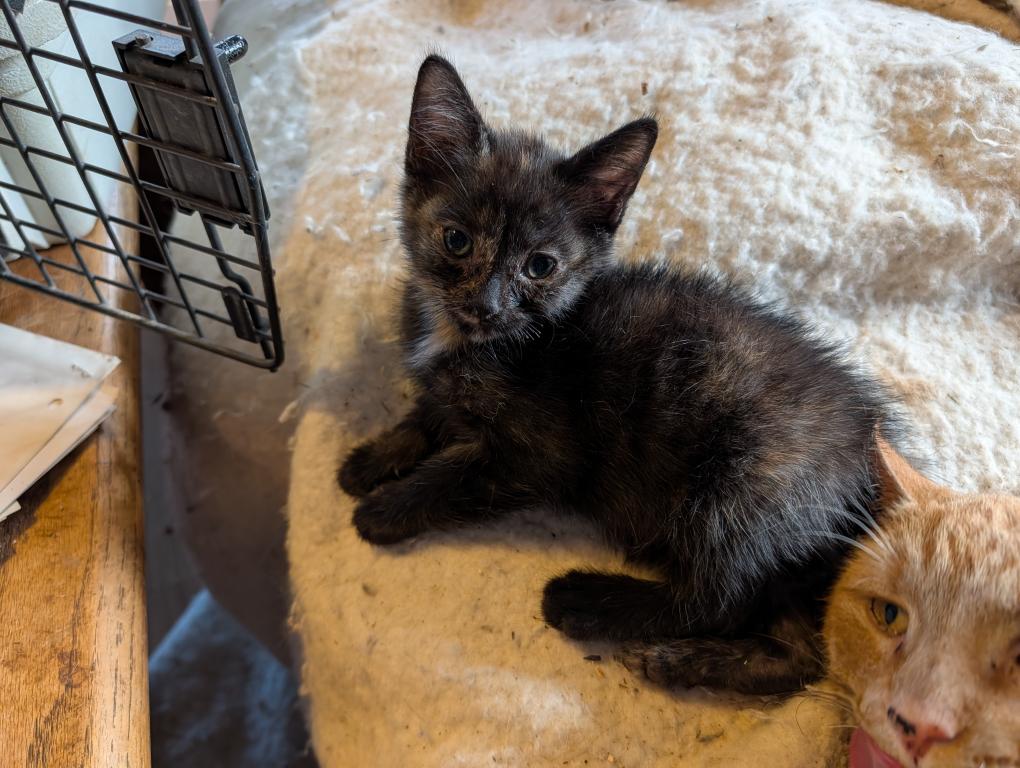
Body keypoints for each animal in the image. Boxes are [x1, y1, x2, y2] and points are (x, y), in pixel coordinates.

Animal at [339, 54, 897, 695]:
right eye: (456, 240)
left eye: (540, 267)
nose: (487, 303)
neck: (473, 341)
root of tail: (871, 461)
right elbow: (428, 410)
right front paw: (372, 459)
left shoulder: (540, 456)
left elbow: (452, 478)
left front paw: (382, 510)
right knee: (801, 655)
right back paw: (688, 661)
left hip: (746, 487)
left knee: (718, 598)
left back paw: (584, 602)